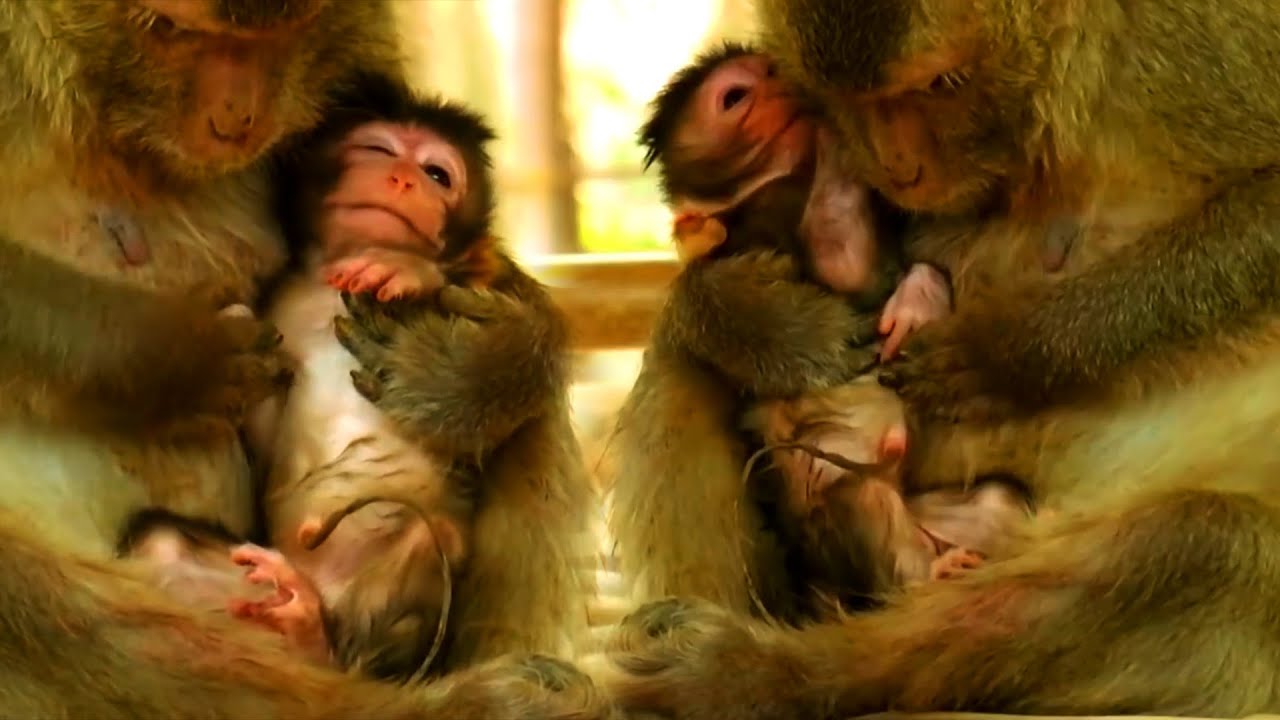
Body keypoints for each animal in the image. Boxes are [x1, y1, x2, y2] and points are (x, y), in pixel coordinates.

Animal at [0, 3, 607, 717]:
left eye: (439, 175)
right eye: (168, 30)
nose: (235, 121)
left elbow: (477, 284)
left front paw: (482, 362)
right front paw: (172, 359)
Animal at [591, 0, 1280, 717]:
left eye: (943, 85)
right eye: (846, 98)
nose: (900, 169)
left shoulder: (1196, 38)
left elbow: (1270, 206)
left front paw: (1008, 350)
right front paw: (764, 321)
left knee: (1205, 543)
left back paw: (763, 675)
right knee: (686, 356)